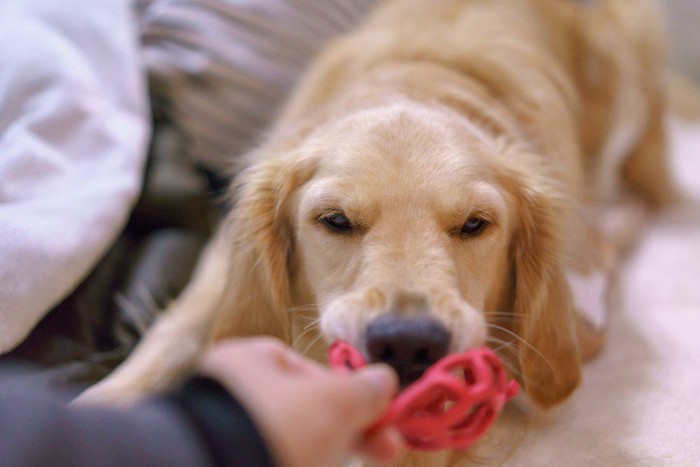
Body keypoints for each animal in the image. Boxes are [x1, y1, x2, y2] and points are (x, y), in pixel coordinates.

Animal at [79, 0, 676, 460]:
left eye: (475, 224)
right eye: (335, 220)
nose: (409, 343)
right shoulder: (226, 260)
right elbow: (175, 336)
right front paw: (103, 402)